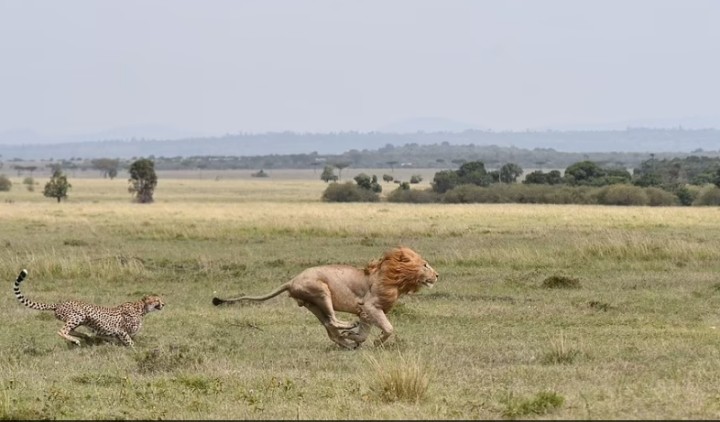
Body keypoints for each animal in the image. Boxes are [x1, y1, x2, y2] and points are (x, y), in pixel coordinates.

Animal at [13, 268, 163, 348]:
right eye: (157, 300)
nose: (163, 304)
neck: (141, 309)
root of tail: (59, 303)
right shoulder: (122, 331)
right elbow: (131, 343)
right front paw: (138, 350)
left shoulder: (118, 334)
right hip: (78, 315)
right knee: (62, 331)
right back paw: (77, 339)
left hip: (80, 319)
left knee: (72, 330)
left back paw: (84, 336)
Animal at [212, 246, 438, 348]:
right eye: (425, 265)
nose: (437, 275)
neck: (394, 278)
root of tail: (291, 281)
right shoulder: (370, 306)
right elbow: (389, 328)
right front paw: (374, 341)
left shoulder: (366, 312)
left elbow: (365, 332)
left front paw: (357, 339)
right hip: (321, 291)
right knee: (333, 320)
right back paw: (348, 328)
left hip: (313, 304)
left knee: (330, 327)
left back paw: (346, 341)